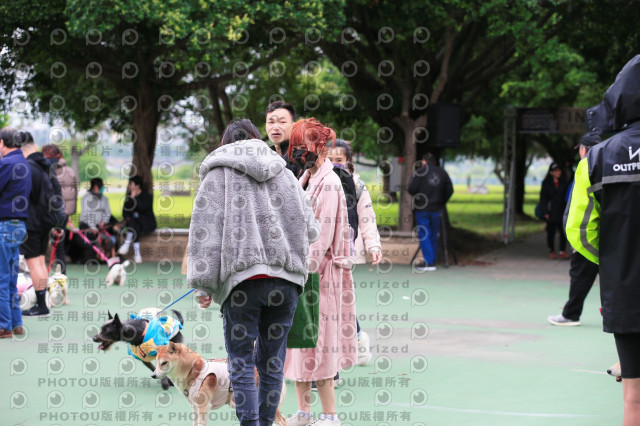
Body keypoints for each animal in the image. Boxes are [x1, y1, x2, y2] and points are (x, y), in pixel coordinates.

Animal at [152, 342, 287, 426]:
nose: (153, 375)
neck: (195, 371)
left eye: (164, 363)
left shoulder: (203, 407)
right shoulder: (194, 407)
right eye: (157, 362)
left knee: (283, 421)